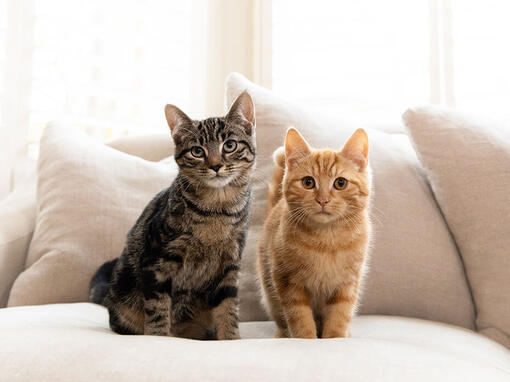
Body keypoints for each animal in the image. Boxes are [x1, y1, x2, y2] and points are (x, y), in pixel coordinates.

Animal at [255, 129, 370, 340]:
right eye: (308, 182)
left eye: (340, 183)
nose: (323, 200)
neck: (326, 239)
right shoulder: (288, 281)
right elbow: (299, 316)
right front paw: (306, 339)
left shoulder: (348, 283)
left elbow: (340, 314)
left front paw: (335, 337)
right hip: (269, 291)